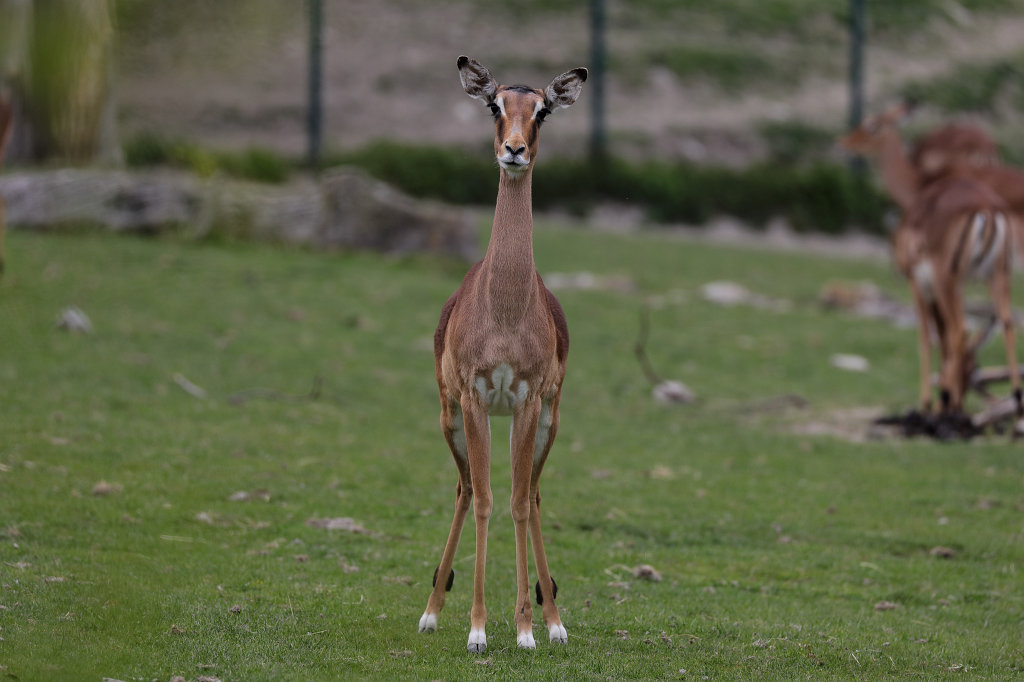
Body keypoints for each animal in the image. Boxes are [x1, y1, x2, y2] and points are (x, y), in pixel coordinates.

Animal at [418, 57, 586, 653]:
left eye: (543, 110)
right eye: (494, 105)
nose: (514, 150)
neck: (507, 311)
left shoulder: (526, 400)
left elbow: (514, 501)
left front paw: (527, 629)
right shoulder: (474, 396)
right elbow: (489, 499)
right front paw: (476, 629)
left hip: (545, 423)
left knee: (530, 495)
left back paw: (554, 620)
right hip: (451, 419)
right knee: (468, 489)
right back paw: (431, 611)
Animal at [841, 107, 1022, 417]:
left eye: (873, 125)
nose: (845, 141)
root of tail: (987, 208)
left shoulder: (920, 281)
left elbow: (929, 336)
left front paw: (931, 401)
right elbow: (945, 337)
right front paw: (948, 398)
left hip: (948, 277)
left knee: (959, 329)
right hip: (997, 274)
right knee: (1005, 322)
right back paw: (1015, 399)